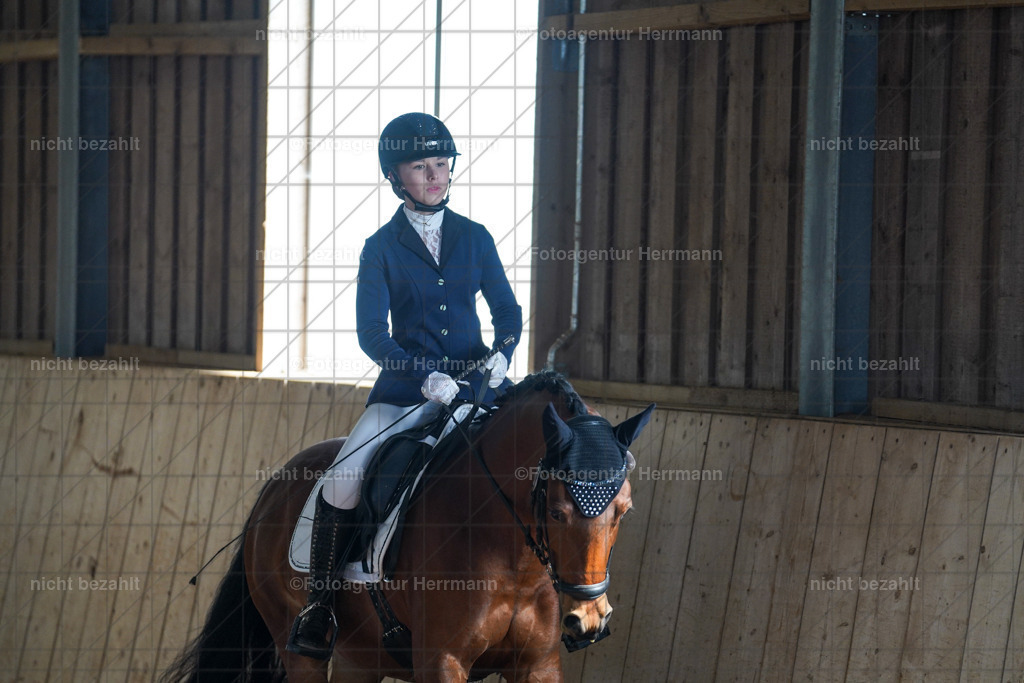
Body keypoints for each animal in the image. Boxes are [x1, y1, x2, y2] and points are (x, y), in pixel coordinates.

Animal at [161, 371, 654, 682]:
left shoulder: (539, 665)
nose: (588, 618)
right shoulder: (442, 661)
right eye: (555, 512)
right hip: (294, 640)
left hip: (360, 657)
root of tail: (275, 486)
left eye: (625, 511)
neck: (515, 559)